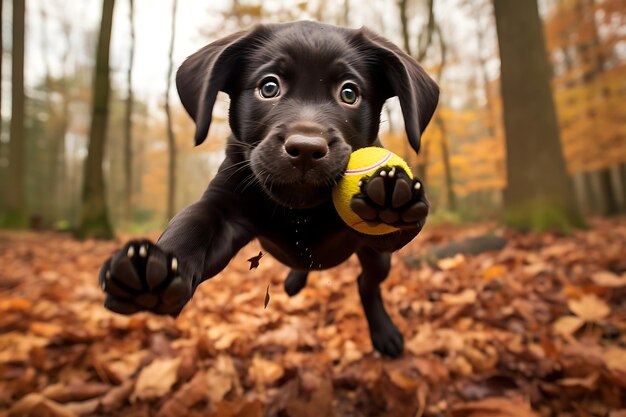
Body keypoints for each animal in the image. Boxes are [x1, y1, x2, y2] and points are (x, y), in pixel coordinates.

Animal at [98, 20, 438, 358]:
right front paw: (151, 272)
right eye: (269, 88)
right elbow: (192, 223)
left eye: (349, 93)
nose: (305, 149)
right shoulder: (224, 208)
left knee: (366, 284)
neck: (300, 213)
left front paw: (390, 199)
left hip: (377, 261)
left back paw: (384, 332)